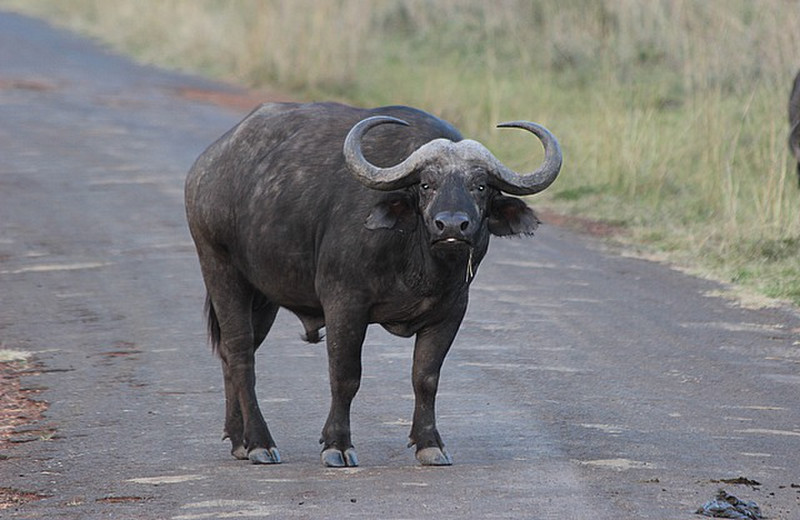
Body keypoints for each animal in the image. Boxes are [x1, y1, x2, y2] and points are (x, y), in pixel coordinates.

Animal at [187, 101, 564, 468]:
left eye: (481, 186)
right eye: (426, 184)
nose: (452, 226)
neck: (418, 262)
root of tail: (205, 167)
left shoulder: (452, 310)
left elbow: (426, 377)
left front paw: (430, 444)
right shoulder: (345, 304)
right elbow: (345, 376)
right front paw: (337, 445)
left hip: (264, 295)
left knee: (233, 354)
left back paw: (239, 439)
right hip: (220, 268)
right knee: (240, 355)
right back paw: (259, 443)